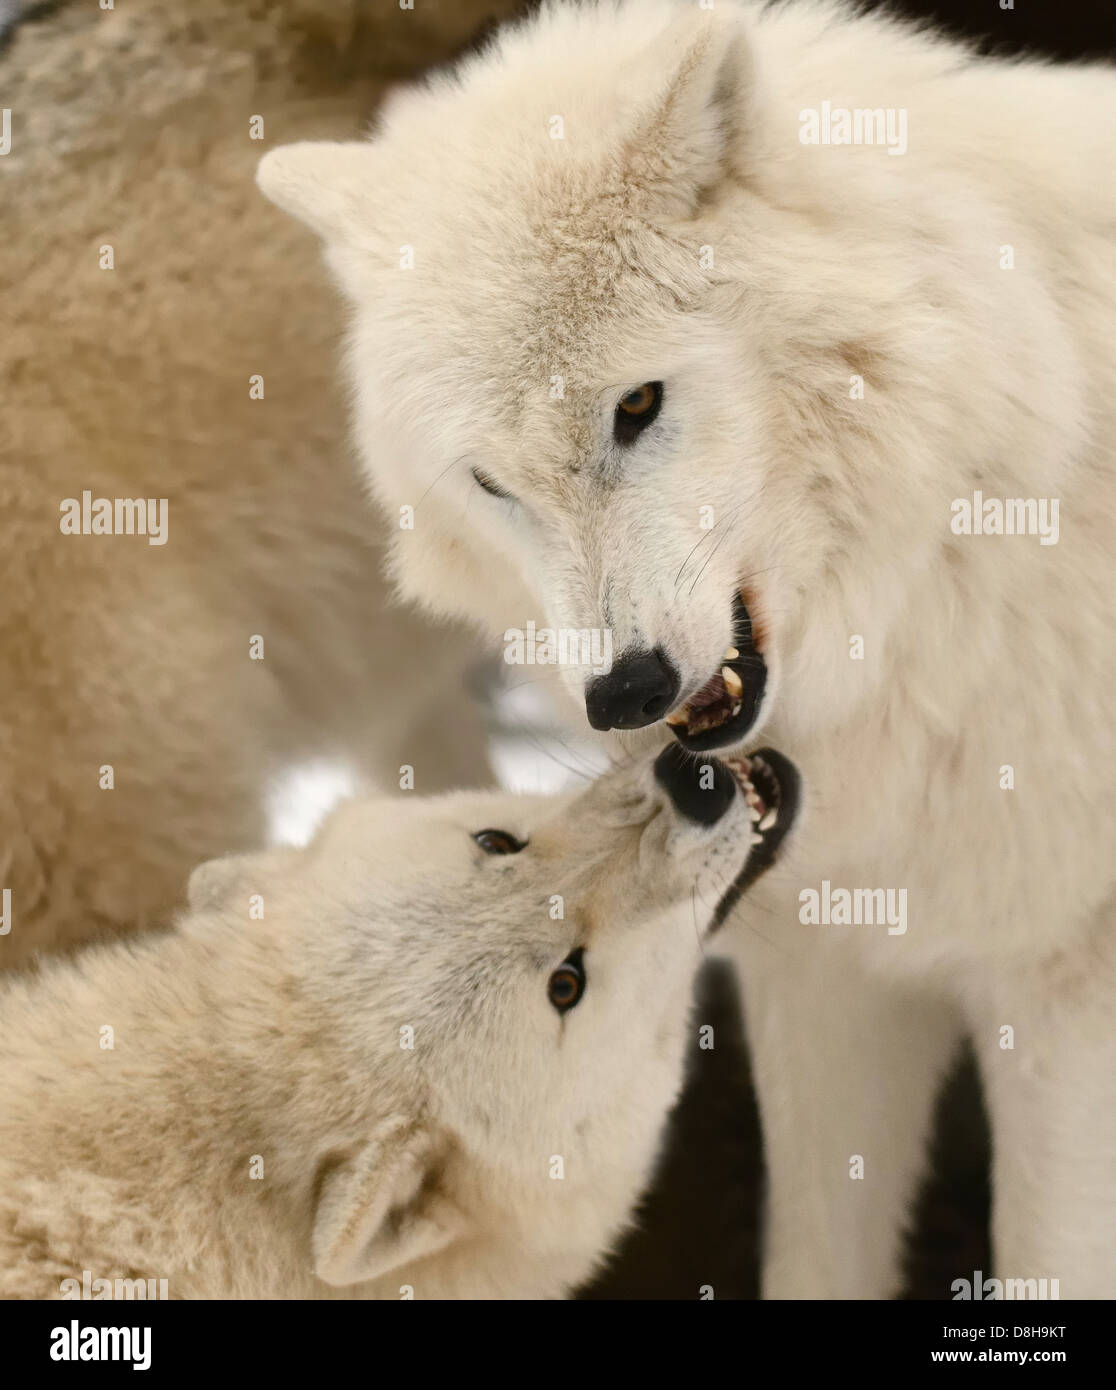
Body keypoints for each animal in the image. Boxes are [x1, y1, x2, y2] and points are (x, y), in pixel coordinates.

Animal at [257, 0, 1116, 1295]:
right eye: (489, 481)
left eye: (637, 405)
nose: (626, 692)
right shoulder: (831, 966)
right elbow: (817, 1249)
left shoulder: (1061, 994)